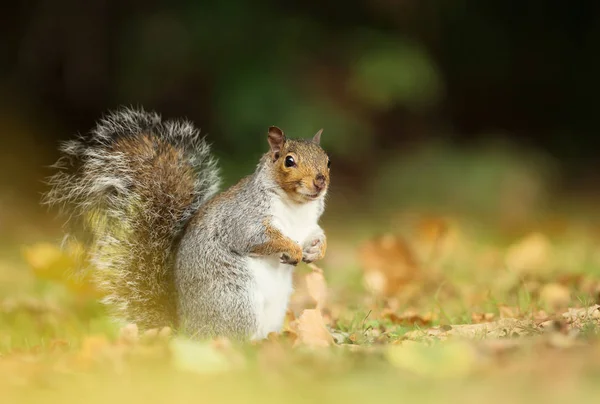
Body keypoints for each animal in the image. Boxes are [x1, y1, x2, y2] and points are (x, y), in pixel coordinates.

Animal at [44, 108, 330, 340]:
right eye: (289, 161)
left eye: (327, 160)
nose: (320, 181)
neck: (297, 207)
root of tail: (185, 331)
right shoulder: (243, 218)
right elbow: (256, 238)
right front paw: (291, 249)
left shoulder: (308, 226)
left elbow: (316, 235)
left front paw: (317, 251)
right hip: (235, 301)